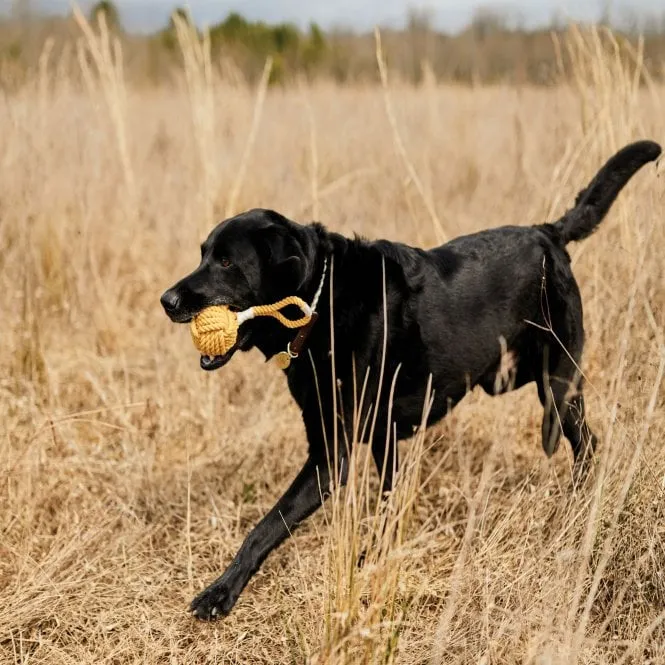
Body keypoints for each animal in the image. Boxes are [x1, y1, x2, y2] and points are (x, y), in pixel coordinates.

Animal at [160, 139, 660, 616]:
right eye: (203, 254)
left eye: (227, 263)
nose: (167, 300)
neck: (320, 302)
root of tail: (547, 232)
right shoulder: (376, 438)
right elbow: (385, 499)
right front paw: (375, 557)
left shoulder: (331, 456)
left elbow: (266, 527)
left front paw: (219, 594)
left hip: (557, 386)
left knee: (586, 443)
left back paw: (576, 509)